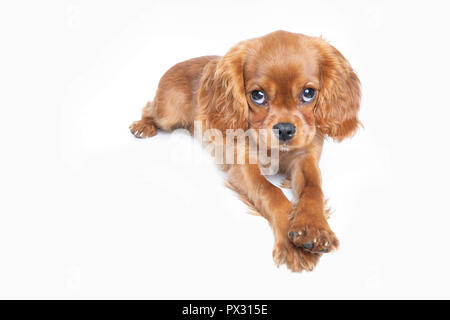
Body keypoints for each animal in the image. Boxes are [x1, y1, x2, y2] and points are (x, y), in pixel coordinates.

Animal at [128, 30, 360, 272]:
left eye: (308, 93)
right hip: (168, 112)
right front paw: (292, 245)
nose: (285, 130)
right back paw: (143, 126)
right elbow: (271, 191)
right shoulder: (244, 166)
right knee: (149, 108)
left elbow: (313, 189)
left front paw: (315, 229)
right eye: (257, 95)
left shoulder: (306, 158)